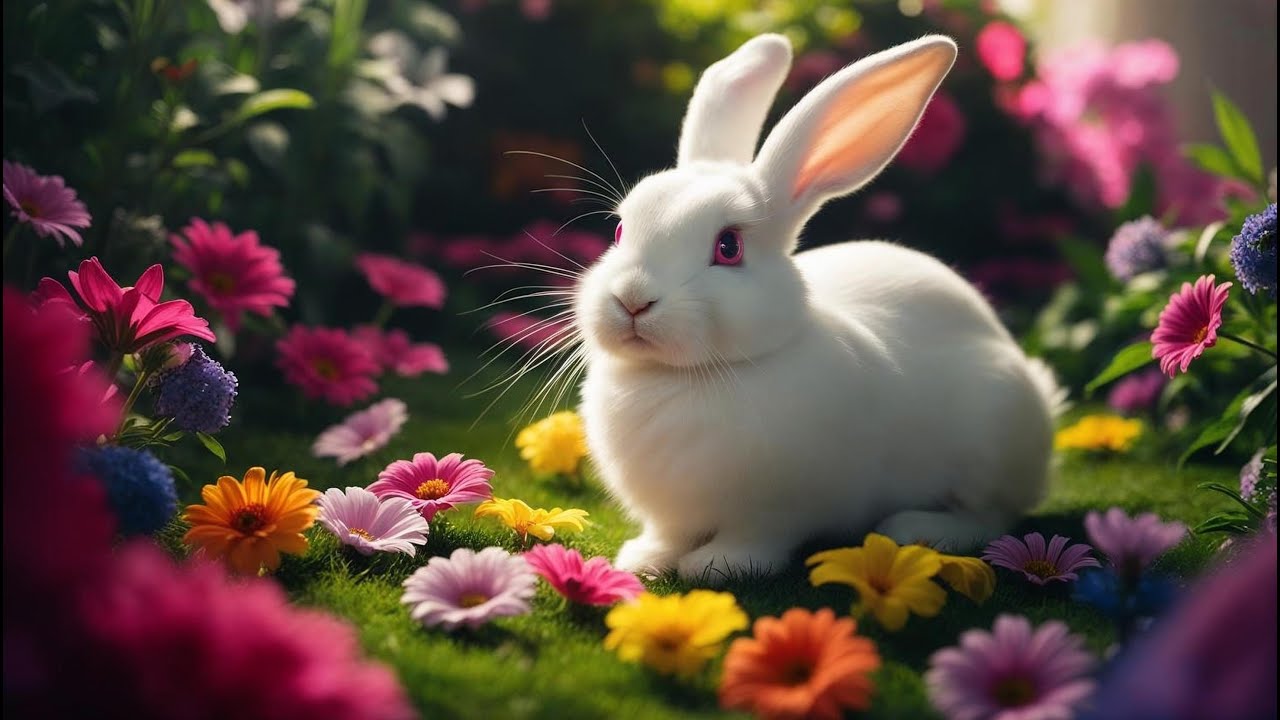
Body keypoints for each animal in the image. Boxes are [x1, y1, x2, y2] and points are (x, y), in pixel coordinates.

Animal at [572, 33, 1060, 582]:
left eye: (729, 247)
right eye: (619, 231)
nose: (632, 298)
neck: (677, 378)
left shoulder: (776, 509)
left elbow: (756, 538)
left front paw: (718, 566)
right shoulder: (672, 516)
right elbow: (667, 536)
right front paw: (643, 561)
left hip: (992, 435)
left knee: (993, 515)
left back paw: (918, 528)